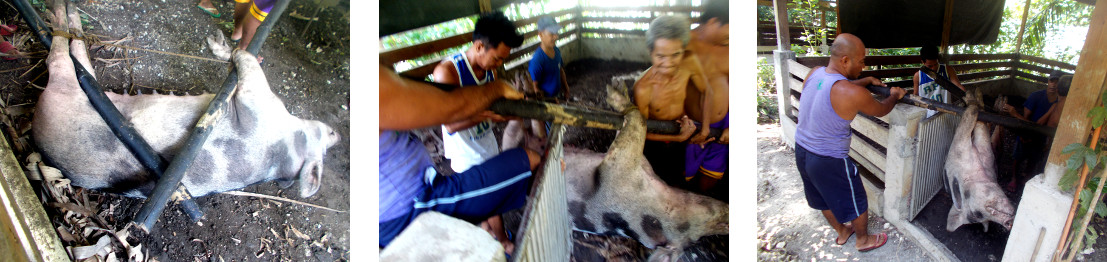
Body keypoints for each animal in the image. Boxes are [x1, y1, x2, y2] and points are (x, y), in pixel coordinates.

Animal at [32, 1, 338, 198]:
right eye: (329, 138)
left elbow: (245, 58)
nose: (337, 134)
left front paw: (224, 45)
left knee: (60, 56)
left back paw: (58, 13)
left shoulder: (258, 101)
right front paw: (218, 40)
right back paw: (67, 11)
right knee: (78, 54)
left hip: (66, 91)